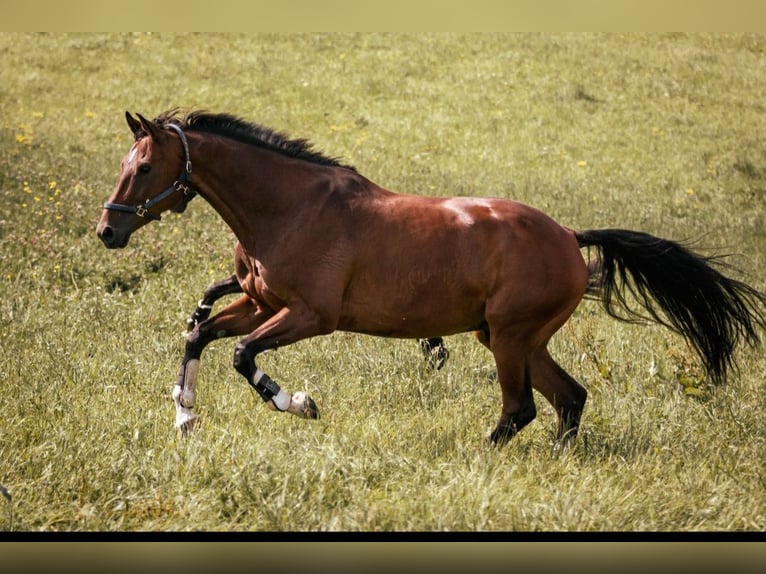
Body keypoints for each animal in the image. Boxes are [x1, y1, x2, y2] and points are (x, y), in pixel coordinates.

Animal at [96, 110, 766, 445]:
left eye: (145, 167)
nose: (107, 229)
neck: (289, 206)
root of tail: (570, 238)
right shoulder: (264, 304)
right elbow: (200, 333)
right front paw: (184, 416)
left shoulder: (311, 316)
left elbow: (240, 355)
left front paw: (303, 404)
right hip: (511, 338)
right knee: (569, 399)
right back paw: (557, 458)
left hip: (510, 339)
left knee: (521, 407)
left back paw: (484, 457)